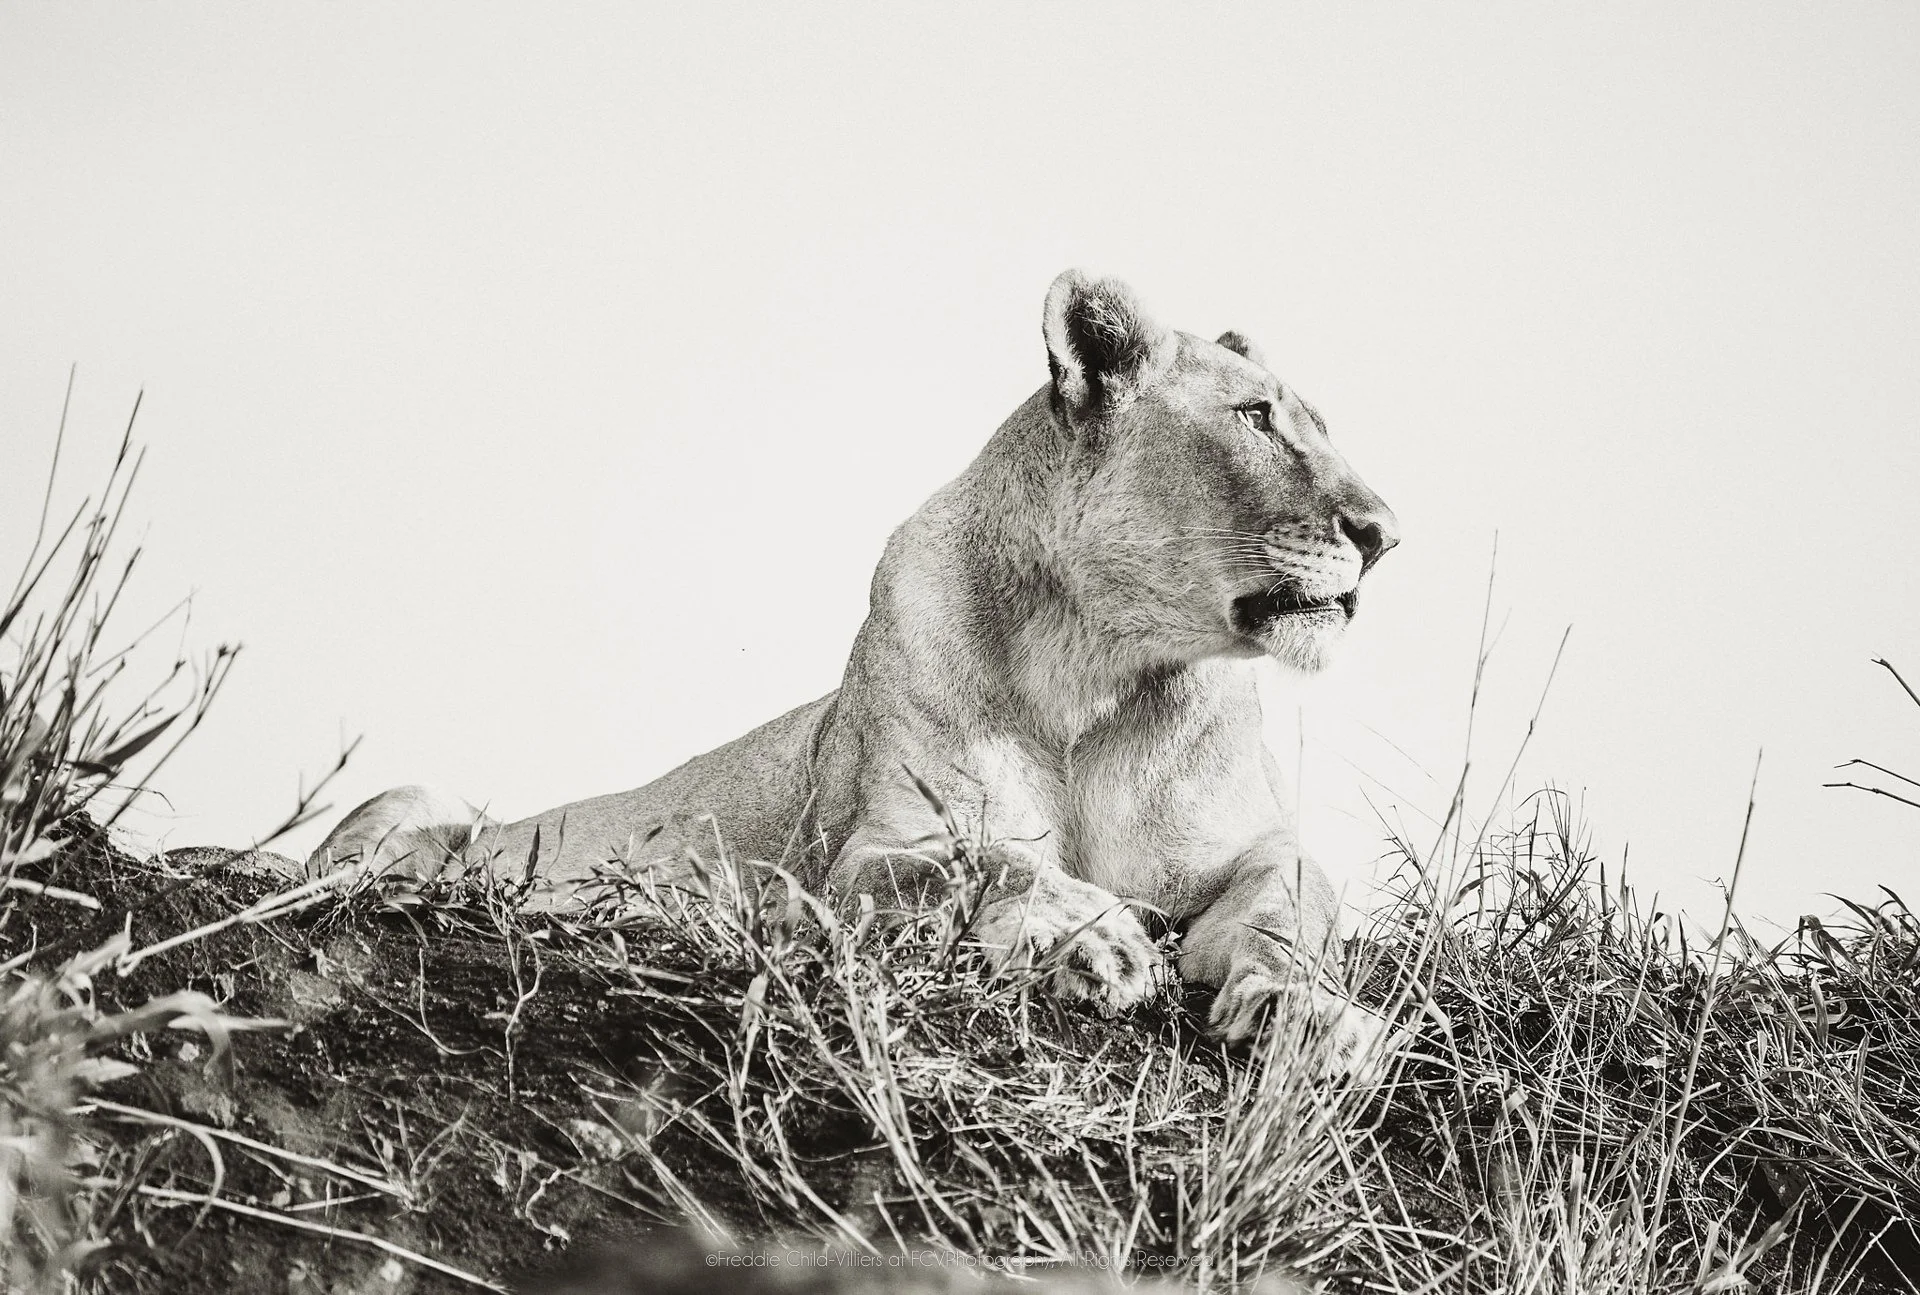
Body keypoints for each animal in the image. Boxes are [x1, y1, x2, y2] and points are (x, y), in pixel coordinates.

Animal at [312, 270, 1403, 1074]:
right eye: (1257, 417)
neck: (1103, 670)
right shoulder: (874, 849)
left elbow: (1291, 906)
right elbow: (987, 858)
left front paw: (1308, 1012)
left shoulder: (1259, 846)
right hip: (409, 796)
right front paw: (1095, 939)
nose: (1386, 534)